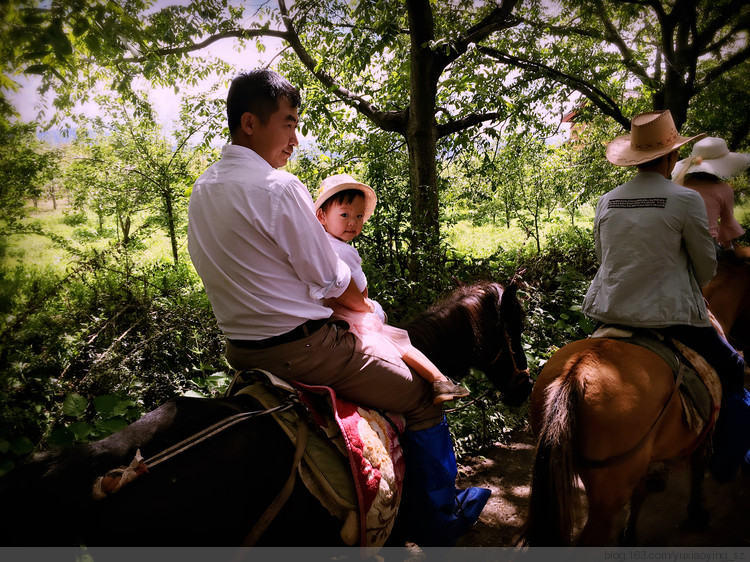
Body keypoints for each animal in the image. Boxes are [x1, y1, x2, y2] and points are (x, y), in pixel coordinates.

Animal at [524, 253, 750, 544]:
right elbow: (698, 470)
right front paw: (696, 513)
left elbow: (640, 493)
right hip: (609, 492)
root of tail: (576, 372)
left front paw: (629, 532)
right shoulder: (703, 432)